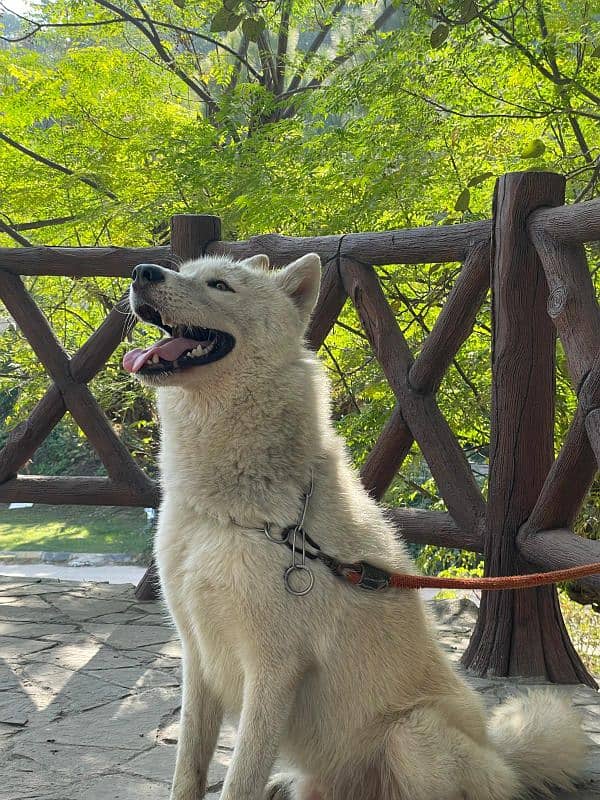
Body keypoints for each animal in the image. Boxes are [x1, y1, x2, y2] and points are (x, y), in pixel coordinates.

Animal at [124, 255, 588, 800]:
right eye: (186, 270)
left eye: (219, 284)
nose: (142, 271)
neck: (236, 513)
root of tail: (504, 759)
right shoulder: (197, 657)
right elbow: (189, 771)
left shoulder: (273, 668)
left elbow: (239, 778)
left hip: (411, 735)